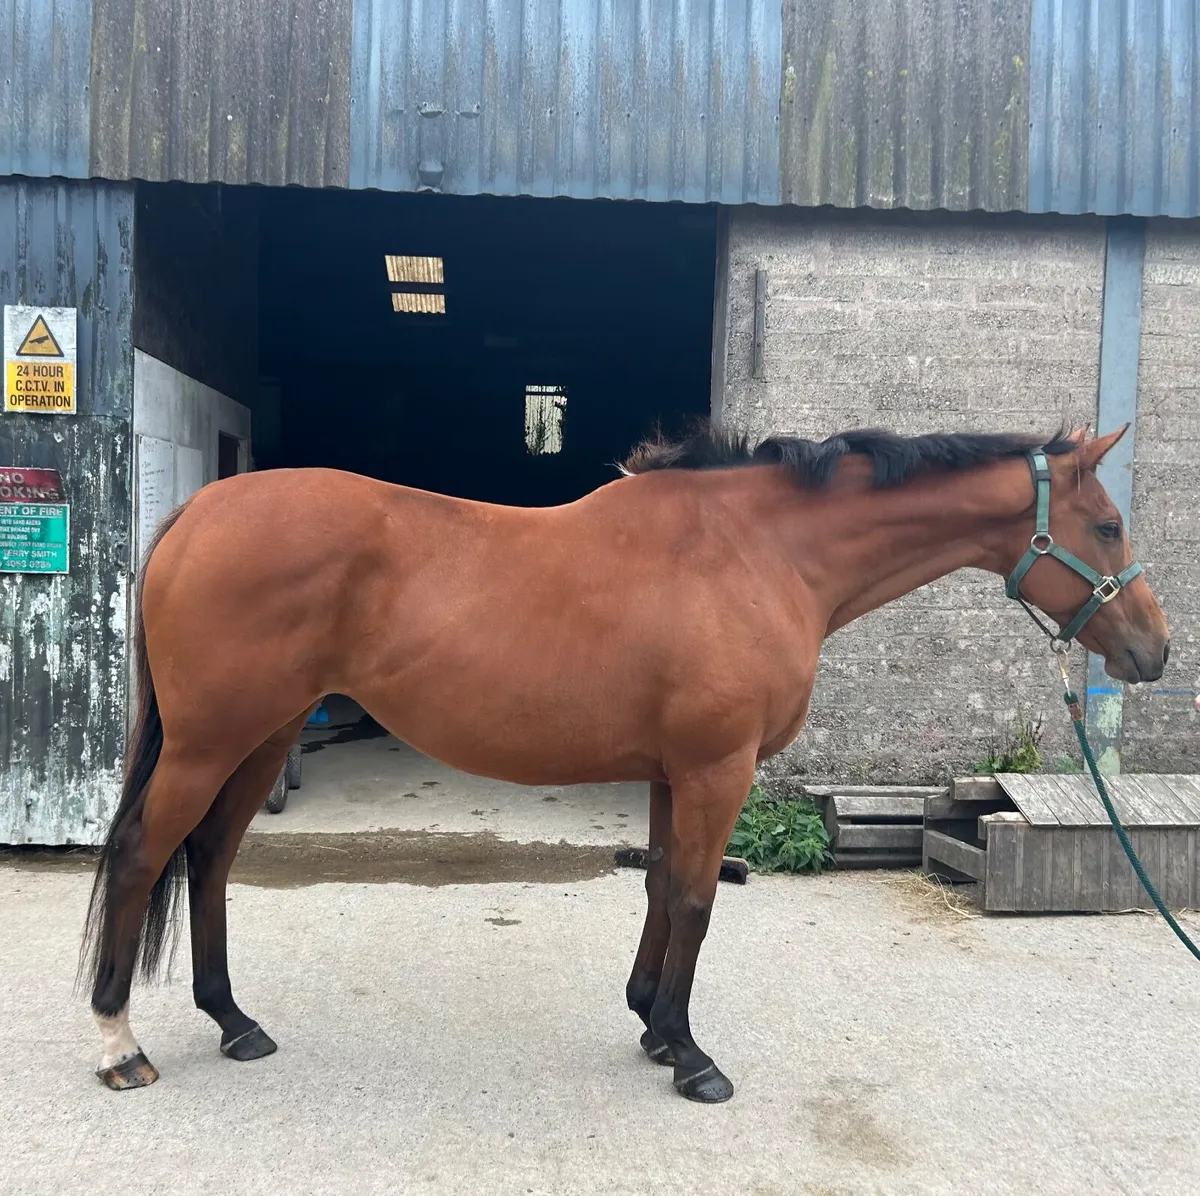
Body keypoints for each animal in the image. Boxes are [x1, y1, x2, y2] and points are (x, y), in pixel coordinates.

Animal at [80, 421, 1169, 1103]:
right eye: (1109, 524)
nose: (1154, 650)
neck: (758, 551)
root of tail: (195, 512)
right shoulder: (717, 768)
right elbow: (694, 896)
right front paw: (689, 1054)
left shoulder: (669, 770)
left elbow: (657, 886)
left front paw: (650, 1022)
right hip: (215, 740)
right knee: (142, 854)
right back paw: (121, 1043)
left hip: (262, 738)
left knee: (210, 857)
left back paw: (233, 1021)